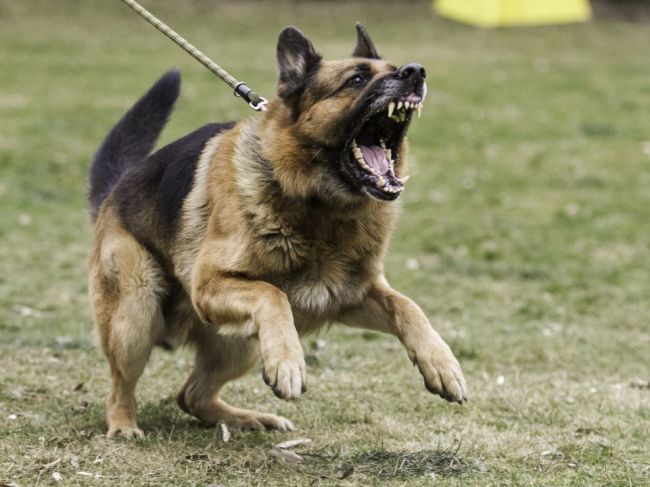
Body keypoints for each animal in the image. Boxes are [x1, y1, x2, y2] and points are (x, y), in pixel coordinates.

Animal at [88, 23, 464, 438]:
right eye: (357, 79)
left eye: (395, 69)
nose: (416, 72)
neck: (319, 207)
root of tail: (115, 190)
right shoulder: (209, 285)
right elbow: (272, 293)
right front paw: (288, 362)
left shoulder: (352, 294)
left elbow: (408, 306)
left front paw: (442, 363)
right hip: (135, 313)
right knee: (120, 385)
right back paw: (124, 425)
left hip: (240, 344)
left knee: (192, 396)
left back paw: (250, 419)